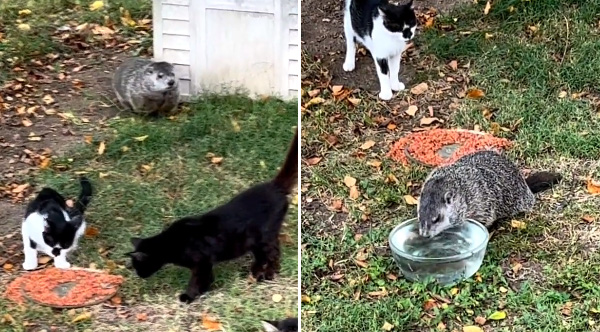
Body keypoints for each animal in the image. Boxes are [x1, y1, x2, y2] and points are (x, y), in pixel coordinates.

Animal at [126, 130, 298, 304]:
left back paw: (267, 275)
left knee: (273, 255)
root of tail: (274, 186)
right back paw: (256, 271)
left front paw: (188, 297)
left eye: (137, 265)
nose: (139, 275)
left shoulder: (201, 264)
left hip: (264, 238)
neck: (171, 243)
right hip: (254, 241)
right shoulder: (205, 264)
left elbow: (197, 281)